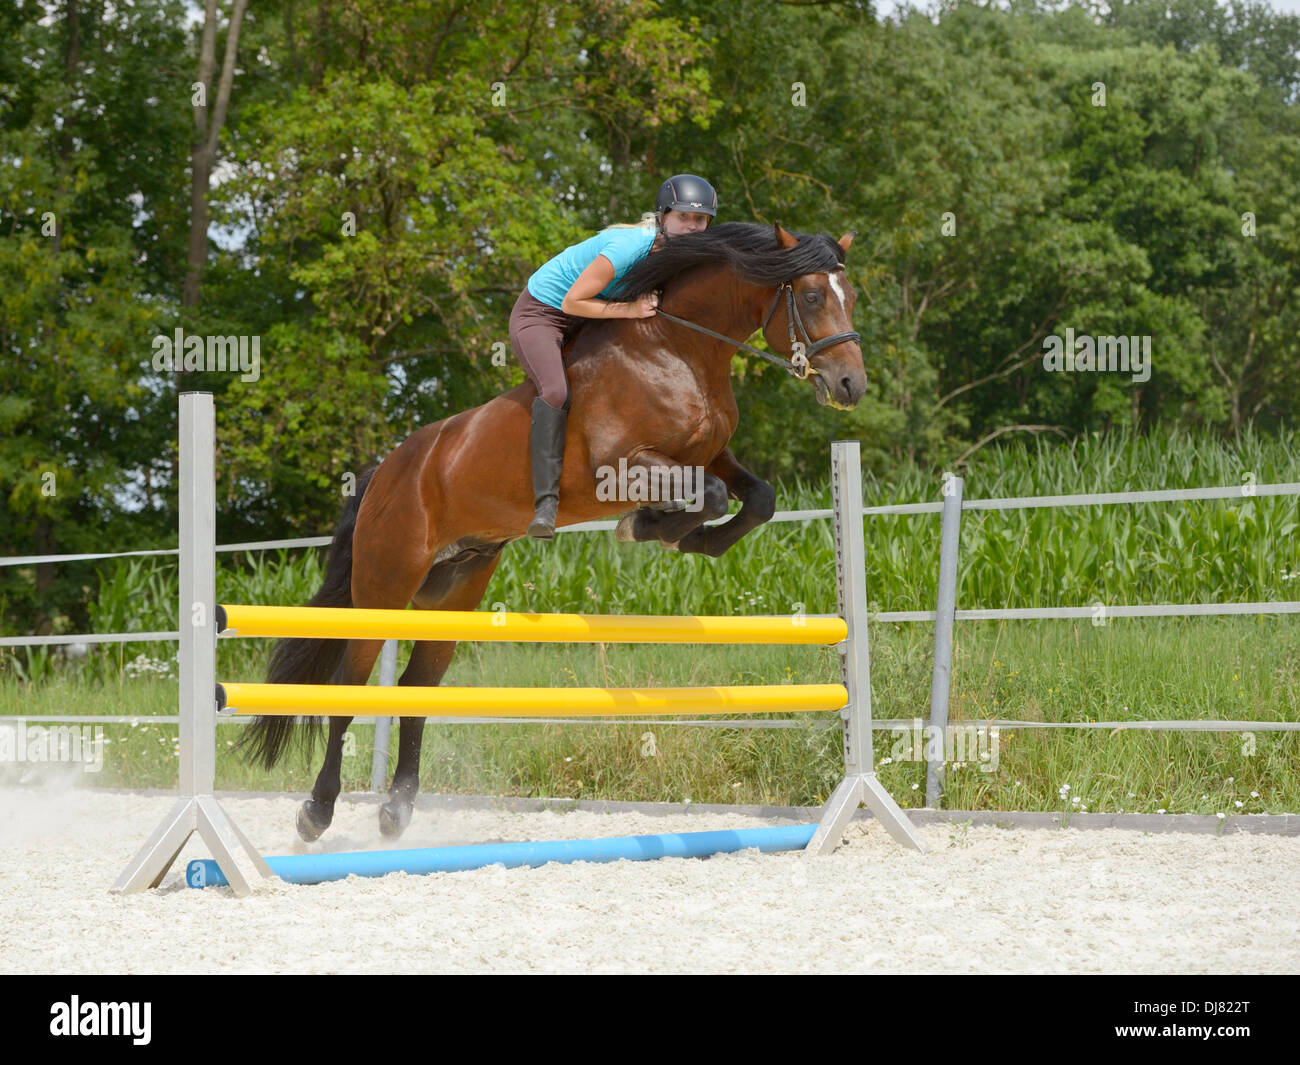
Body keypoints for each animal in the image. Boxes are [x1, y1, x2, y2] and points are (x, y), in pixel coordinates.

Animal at [244, 222, 868, 842]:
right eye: (813, 296)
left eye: (851, 296)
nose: (850, 386)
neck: (678, 348)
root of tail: (383, 472)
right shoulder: (622, 467)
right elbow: (708, 496)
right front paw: (645, 525)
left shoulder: (709, 456)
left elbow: (756, 498)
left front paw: (685, 536)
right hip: (383, 588)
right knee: (347, 689)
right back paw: (315, 813)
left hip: (453, 589)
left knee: (417, 687)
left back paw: (395, 813)